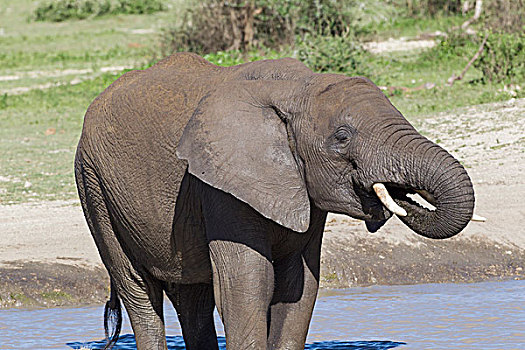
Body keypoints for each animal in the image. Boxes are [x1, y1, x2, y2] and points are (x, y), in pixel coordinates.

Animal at [74, 52, 478, 350]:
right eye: (342, 137)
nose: (400, 194)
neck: (298, 89)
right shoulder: (220, 184)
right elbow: (249, 284)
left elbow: (298, 285)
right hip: (94, 186)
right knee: (138, 291)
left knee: (193, 299)